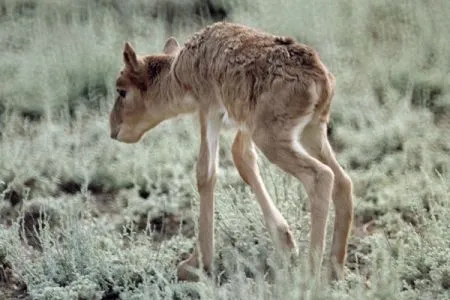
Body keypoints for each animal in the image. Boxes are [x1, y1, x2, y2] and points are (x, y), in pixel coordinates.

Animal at [110, 21, 356, 282]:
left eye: (121, 90)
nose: (113, 130)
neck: (179, 69)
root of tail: (321, 78)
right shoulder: (244, 123)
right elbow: (243, 159)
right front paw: (286, 243)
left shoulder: (209, 109)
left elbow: (205, 174)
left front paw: (197, 264)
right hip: (312, 132)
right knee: (342, 180)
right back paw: (335, 271)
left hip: (272, 139)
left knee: (321, 176)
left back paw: (309, 276)